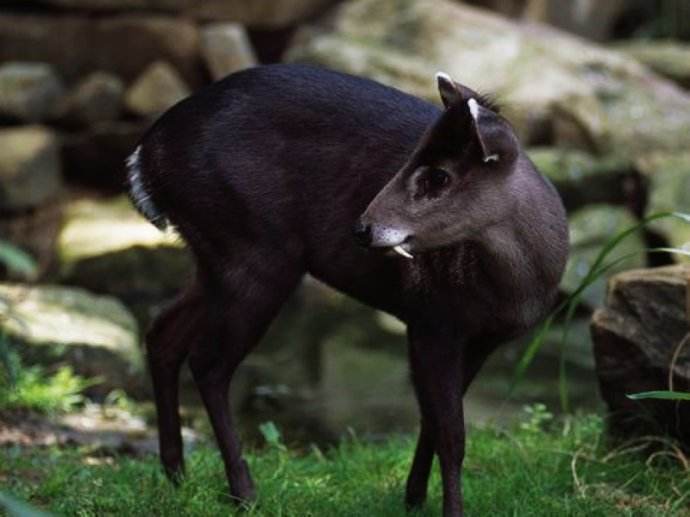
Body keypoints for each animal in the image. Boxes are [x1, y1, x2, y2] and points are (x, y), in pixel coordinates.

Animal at [126, 62, 568, 512]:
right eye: (412, 158)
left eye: (440, 176)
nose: (362, 228)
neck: (515, 289)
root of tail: (147, 156)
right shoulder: (431, 320)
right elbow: (451, 434)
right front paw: (443, 508)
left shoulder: (480, 339)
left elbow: (433, 420)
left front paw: (413, 497)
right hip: (252, 251)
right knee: (209, 363)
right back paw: (243, 492)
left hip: (217, 258)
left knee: (164, 333)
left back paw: (176, 474)